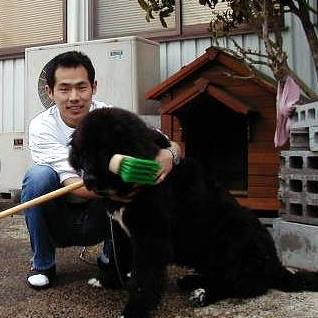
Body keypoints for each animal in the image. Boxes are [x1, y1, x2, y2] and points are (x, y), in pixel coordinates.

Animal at [69, 107, 318, 318]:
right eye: (84, 152)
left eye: (106, 151)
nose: (89, 179)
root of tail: (276, 265)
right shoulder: (121, 231)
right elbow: (119, 256)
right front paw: (108, 280)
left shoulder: (151, 238)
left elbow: (144, 278)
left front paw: (135, 309)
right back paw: (191, 281)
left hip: (234, 233)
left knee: (242, 284)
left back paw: (203, 293)